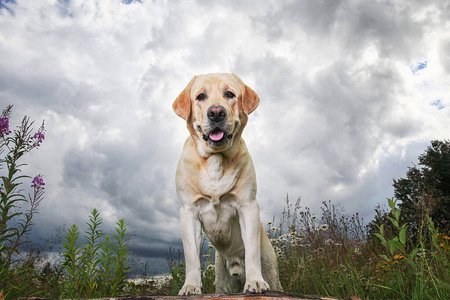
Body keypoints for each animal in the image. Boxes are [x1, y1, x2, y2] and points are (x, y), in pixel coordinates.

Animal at [172, 73, 282, 296]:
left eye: (229, 94)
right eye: (200, 96)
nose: (216, 113)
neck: (216, 159)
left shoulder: (247, 206)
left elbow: (251, 250)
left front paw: (255, 281)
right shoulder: (188, 212)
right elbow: (191, 256)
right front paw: (191, 285)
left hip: (272, 269)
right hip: (221, 278)